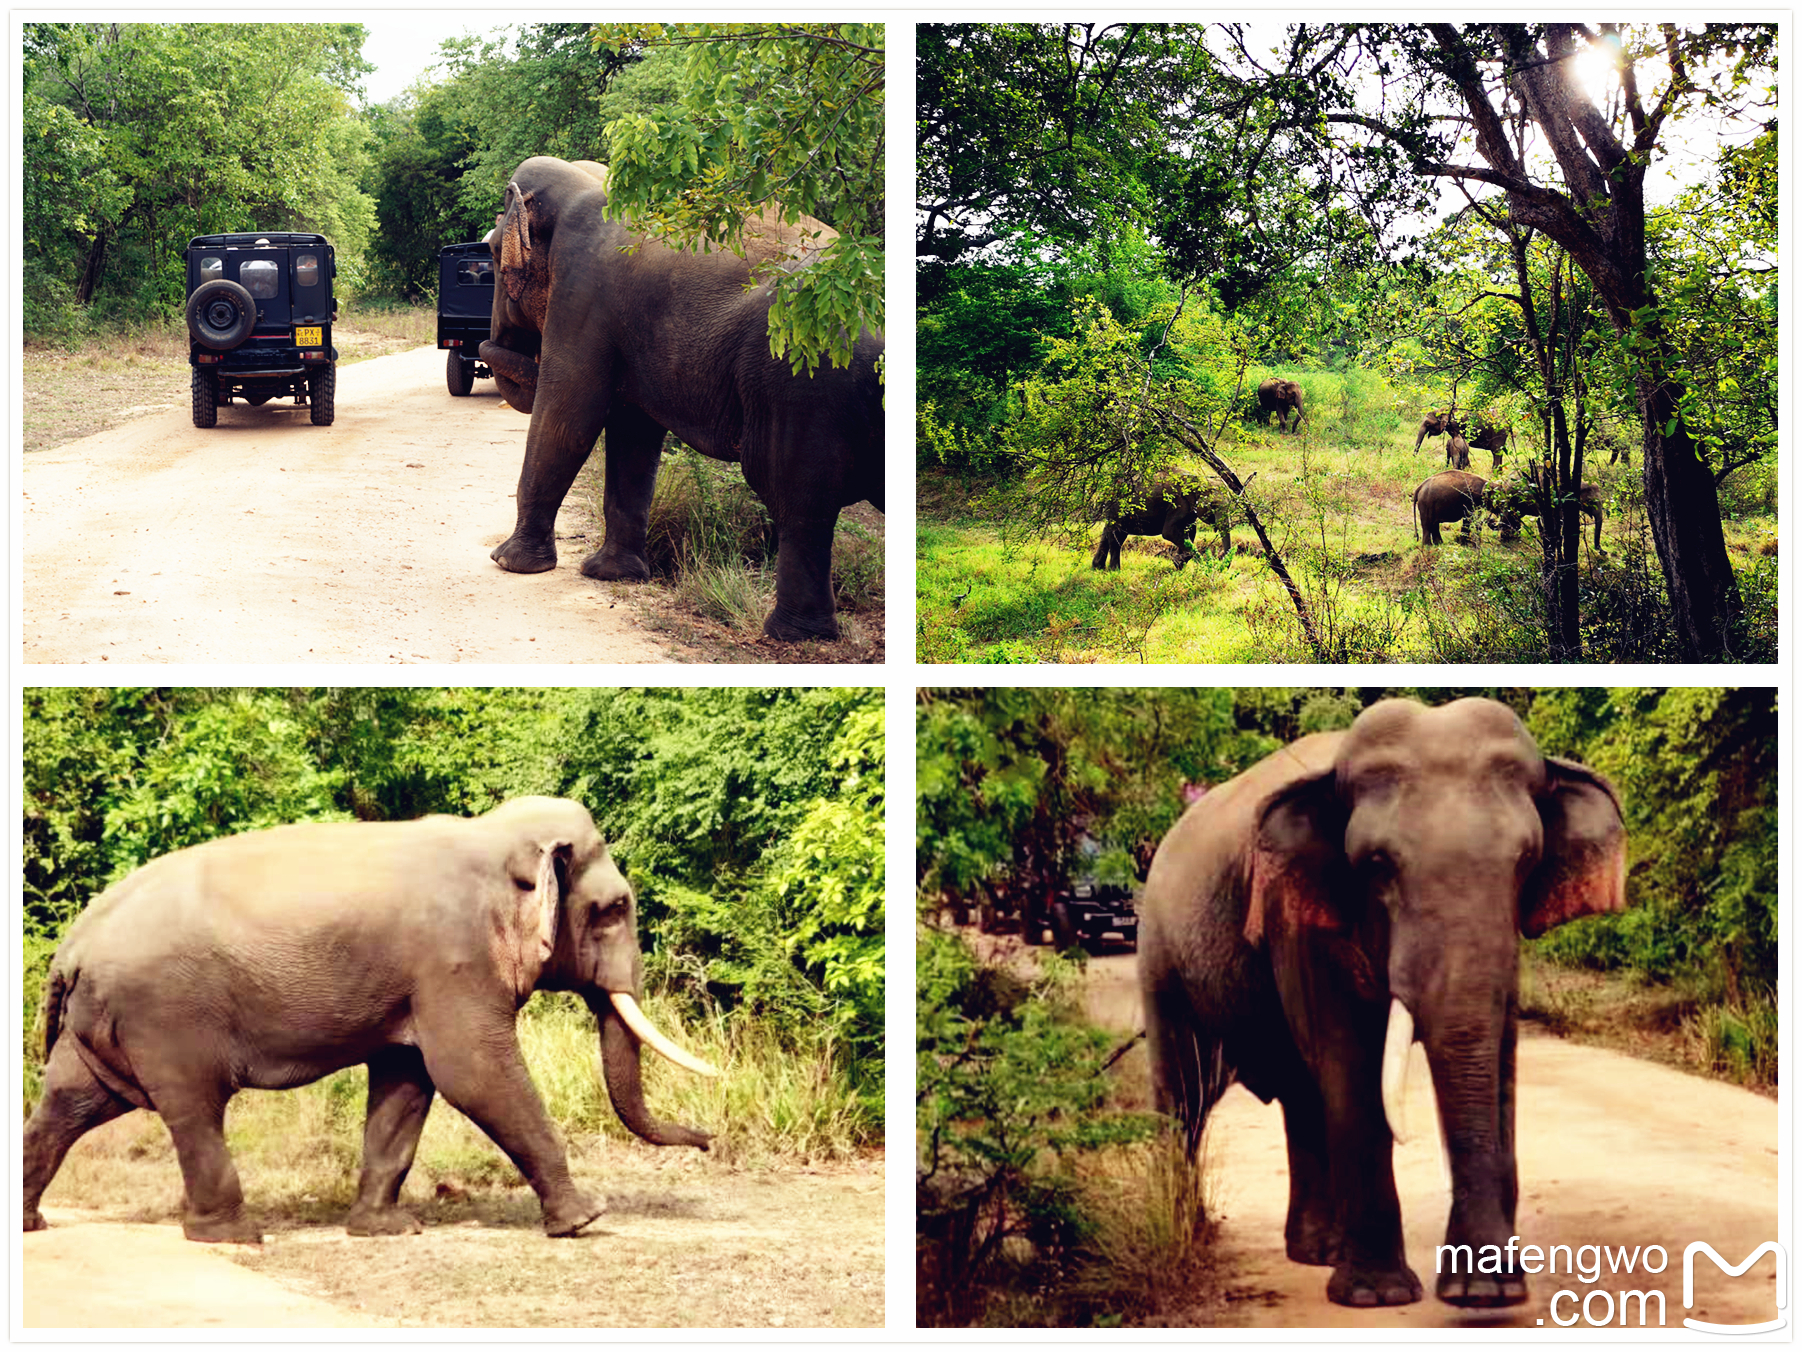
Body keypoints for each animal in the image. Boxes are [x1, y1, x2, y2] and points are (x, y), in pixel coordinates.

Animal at [21, 793, 713, 1247]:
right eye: (613, 909)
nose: (708, 1139)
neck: (489, 839)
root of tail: (72, 945)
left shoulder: (419, 980)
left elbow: (408, 1081)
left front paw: (386, 1229)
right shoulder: (452, 961)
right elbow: (474, 1075)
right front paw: (586, 1218)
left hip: (103, 1026)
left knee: (71, 1104)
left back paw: (30, 1224)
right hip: (163, 1016)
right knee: (193, 1108)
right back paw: (236, 1235)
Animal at [475, 155, 875, 641]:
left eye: (494, 252)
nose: (485, 341)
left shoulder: (581, 295)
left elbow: (568, 416)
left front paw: (507, 563)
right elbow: (633, 433)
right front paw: (611, 575)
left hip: (804, 379)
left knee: (795, 497)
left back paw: (791, 635)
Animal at [1081, 475, 1239, 573]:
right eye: (1214, 506)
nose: (1219, 560)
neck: (1198, 478)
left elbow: (1191, 532)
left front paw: (1179, 563)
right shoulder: (1178, 504)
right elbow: (1169, 532)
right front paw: (1186, 562)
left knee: (1109, 533)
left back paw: (1098, 567)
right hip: (1118, 508)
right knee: (1116, 537)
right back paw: (1115, 571)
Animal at [1138, 703, 1636, 1305]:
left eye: (1526, 860)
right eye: (1377, 864)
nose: (1478, 1286)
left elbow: (1499, 1066)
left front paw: (1489, 1292)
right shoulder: (1304, 922)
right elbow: (1351, 1064)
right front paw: (1379, 1296)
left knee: (1300, 1097)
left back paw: (1317, 1252)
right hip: (1161, 958)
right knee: (1185, 1097)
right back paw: (1194, 1231)